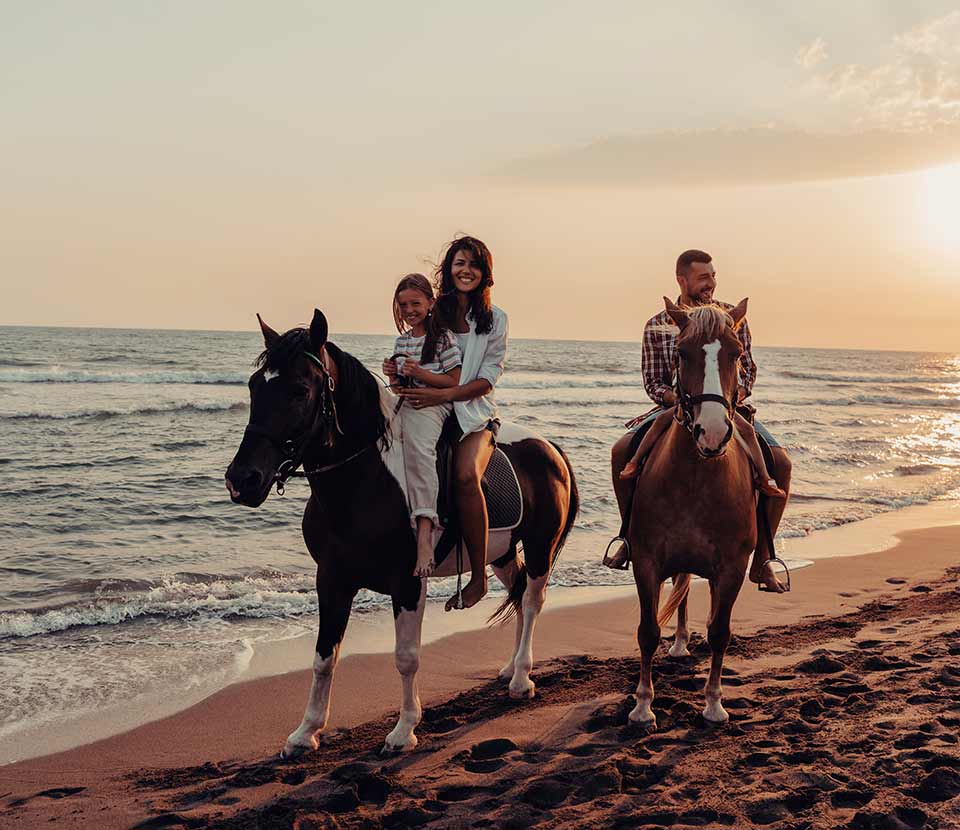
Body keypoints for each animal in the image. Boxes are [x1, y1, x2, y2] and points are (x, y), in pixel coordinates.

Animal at [225, 308, 576, 756]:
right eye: (255, 386)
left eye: (300, 391)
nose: (243, 480)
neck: (365, 483)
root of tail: (549, 449)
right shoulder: (332, 579)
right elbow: (324, 658)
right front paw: (306, 732)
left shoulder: (408, 583)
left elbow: (406, 656)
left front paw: (404, 729)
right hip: (499, 553)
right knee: (516, 596)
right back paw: (511, 668)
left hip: (539, 546)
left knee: (531, 603)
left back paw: (520, 680)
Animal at [628, 300, 760, 728]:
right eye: (682, 353)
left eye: (736, 353)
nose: (713, 432)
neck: (697, 478)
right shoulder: (646, 560)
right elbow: (648, 631)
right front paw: (642, 706)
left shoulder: (733, 566)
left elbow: (720, 631)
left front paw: (714, 705)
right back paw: (680, 645)